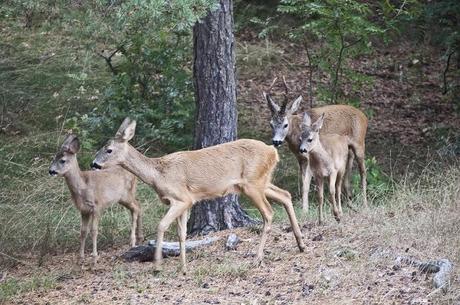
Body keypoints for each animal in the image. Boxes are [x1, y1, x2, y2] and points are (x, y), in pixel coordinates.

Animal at [48, 133, 142, 264]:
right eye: (53, 158)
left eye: (62, 160)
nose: (51, 171)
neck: (83, 186)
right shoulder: (83, 210)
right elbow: (83, 231)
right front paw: (80, 258)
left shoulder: (97, 206)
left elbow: (94, 231)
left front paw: (94, 257)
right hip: (123, 198)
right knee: (138, 206)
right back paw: (139, 238)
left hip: (127, 194)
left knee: (136, 208)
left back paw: (133, 241)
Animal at [90, 117, 306, 274]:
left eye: (108, 150)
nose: (93, 164)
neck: (159, 174)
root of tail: (272, 151)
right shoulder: (187, 202)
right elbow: (182, 234)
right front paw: (183, 267)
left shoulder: (181, 198)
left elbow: (161, 226)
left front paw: (157, 265)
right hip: (261, 182)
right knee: (285, 195)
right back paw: (301, 244)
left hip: (252, 184)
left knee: (269, 213)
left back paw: (258, 258)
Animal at [264, 76, 368, 210]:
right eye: (271, 124)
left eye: (285, 124)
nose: (276, 141)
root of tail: (364, 117)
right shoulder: (301, 159)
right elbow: (303, 182)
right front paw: (305, 207)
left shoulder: (309, 157)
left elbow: (307, 184)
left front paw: (305, 209)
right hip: (348, 150)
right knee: (347, 172)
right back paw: (349, 203)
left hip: (359, 143)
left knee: (363, 172)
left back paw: (364, 203)